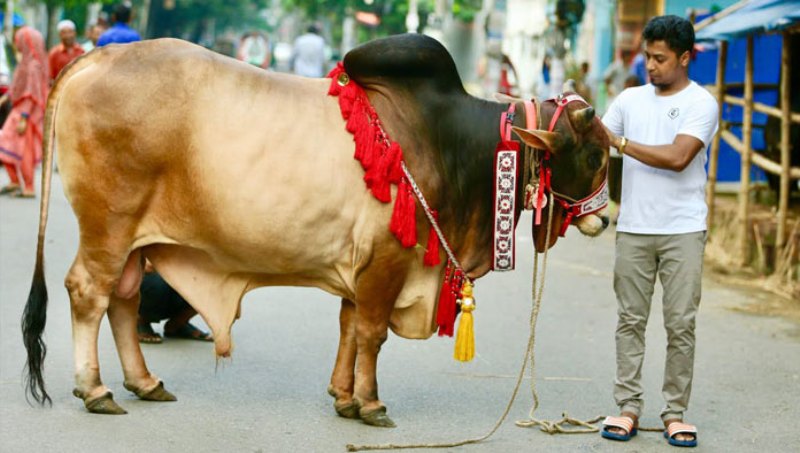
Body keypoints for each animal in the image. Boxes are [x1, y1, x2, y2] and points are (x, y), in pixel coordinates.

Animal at [23, 33, 612, 426]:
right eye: (593, 154)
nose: (605, 217)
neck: (449, 143)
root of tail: (95, 58)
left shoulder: (361, 267)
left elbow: (349, 328)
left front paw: (343, 397)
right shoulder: (387, 262)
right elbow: (372, 333)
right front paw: (371, 404)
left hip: (133, 241)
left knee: (122, 300)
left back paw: (143, 383)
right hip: (109, 227)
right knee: (89, 293)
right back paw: (95, 390)